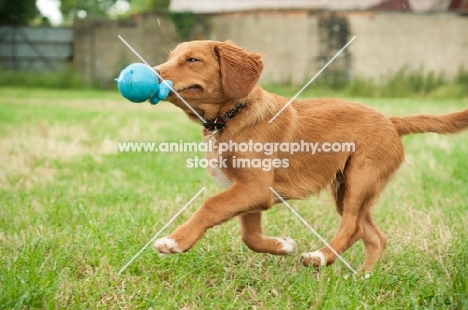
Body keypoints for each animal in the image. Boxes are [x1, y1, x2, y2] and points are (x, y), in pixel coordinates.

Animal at [153, 40, 468, 272]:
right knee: (375, 236)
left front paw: (175, 241)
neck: (231, 117)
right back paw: (363, 277)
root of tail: (391, 121)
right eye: (171, 57)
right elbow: (250, 236)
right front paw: (283, 246)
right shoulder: (248, 190)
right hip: (347, 187)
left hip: (360, 177)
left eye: (192, 60)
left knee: (352, 226)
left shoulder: (255, 188)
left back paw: (320, 257)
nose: (152, 72)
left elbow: (211, 206)